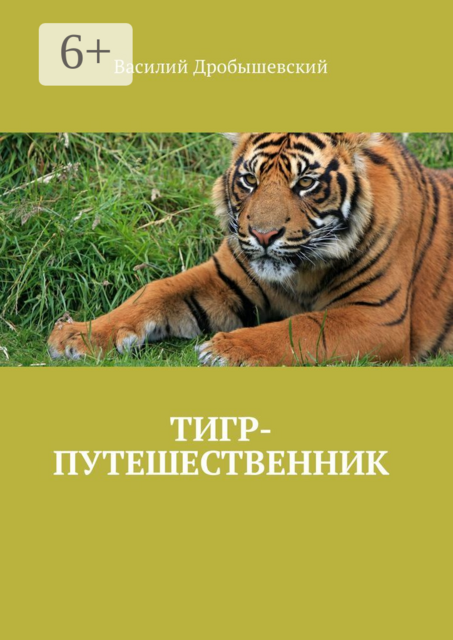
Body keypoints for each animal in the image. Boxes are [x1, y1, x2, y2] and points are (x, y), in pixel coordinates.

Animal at [48, 132, 453, 366]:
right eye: (249, 179)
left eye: (305, 183)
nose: (263, 235)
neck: (303, 272)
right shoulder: (222, 277)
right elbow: (154, 290)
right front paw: (76, 335)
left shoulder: (378, 317)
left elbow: (302, 327)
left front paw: (225, 350)